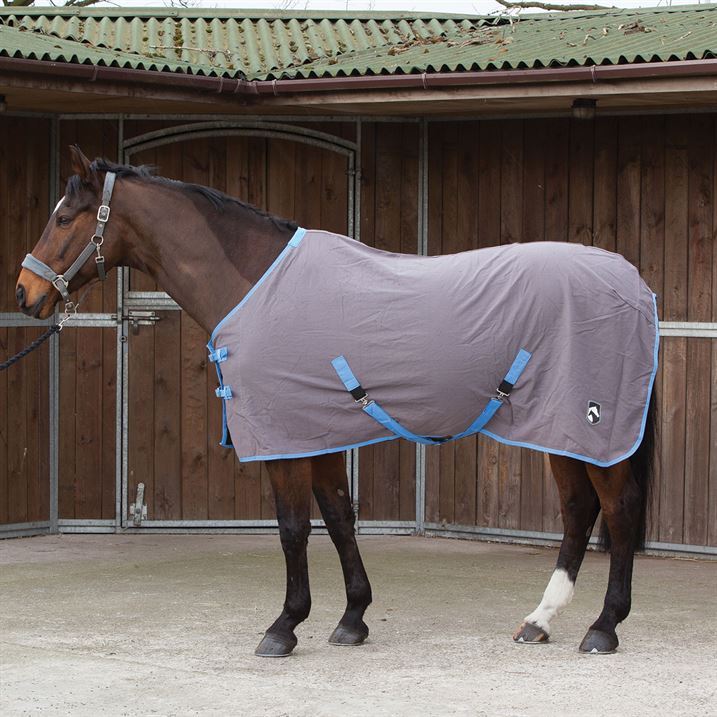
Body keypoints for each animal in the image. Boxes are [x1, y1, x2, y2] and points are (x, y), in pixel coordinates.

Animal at [16, 146, 656, 657]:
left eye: (64, 218)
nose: (26, 293)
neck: (258, 284)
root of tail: (634, 284)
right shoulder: (317, 431)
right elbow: (339, 518)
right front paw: (352, 618)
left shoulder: (284, 439)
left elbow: (293, 528)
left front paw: (284, 626)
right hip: (561, 431)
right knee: (579, 510)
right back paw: (539, 621)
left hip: (590, 427)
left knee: (618, 509)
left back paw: (603, 627)